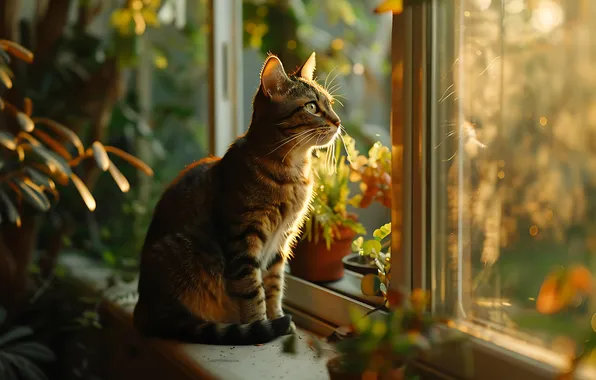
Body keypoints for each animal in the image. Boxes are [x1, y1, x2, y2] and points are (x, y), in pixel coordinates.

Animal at [133, 52, 342, 346]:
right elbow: (252, 290)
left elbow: (274, 286)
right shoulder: (243, 238)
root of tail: (142, 308)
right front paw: (261, 327)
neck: (292, 173)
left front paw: (277, 318)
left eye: (330, 103)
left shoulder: (280, 242)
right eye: (312, 107)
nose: (337, 121)